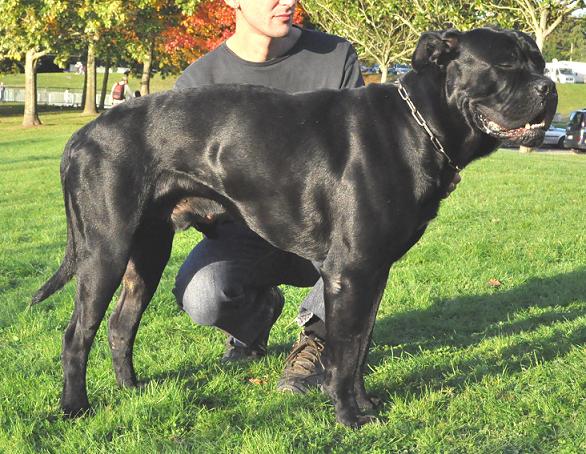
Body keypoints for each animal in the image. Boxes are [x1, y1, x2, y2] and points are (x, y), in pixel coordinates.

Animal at [33, 28, 557, 427]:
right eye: (505, 65)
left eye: (539, 61)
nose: (548, 87)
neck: (419, 127)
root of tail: (81, 135)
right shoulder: (350, 271)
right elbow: (345, 352)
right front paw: (349, 415)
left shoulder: (374, 272)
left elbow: (359, 345)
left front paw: (364, 403)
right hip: (105, 251)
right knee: (77, 334)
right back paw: (75, 408)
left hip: (147, 253)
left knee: (122, 325)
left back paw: (133, 389)